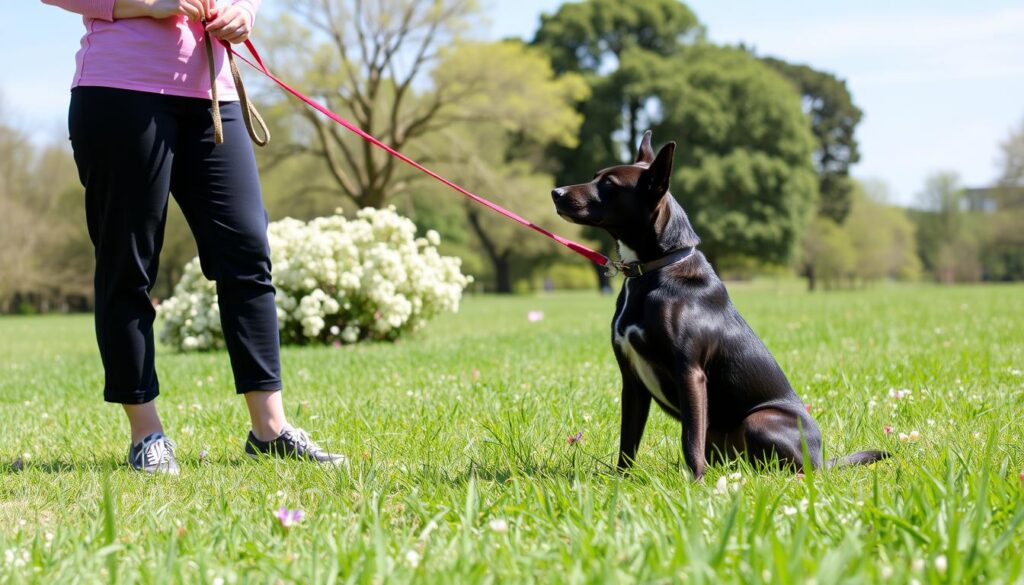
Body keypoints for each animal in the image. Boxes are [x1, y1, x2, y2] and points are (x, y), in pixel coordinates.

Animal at [552, 133, 888, 481]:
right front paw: (622, 482)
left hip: (759, 420)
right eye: (595, 176)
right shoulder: (631, 380)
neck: (655, 268)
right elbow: (628, 439)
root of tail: (822, 459)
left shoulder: (690, 372)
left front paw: (696, 485)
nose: (555, 192)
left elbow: (689, 438)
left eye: (609, 183)